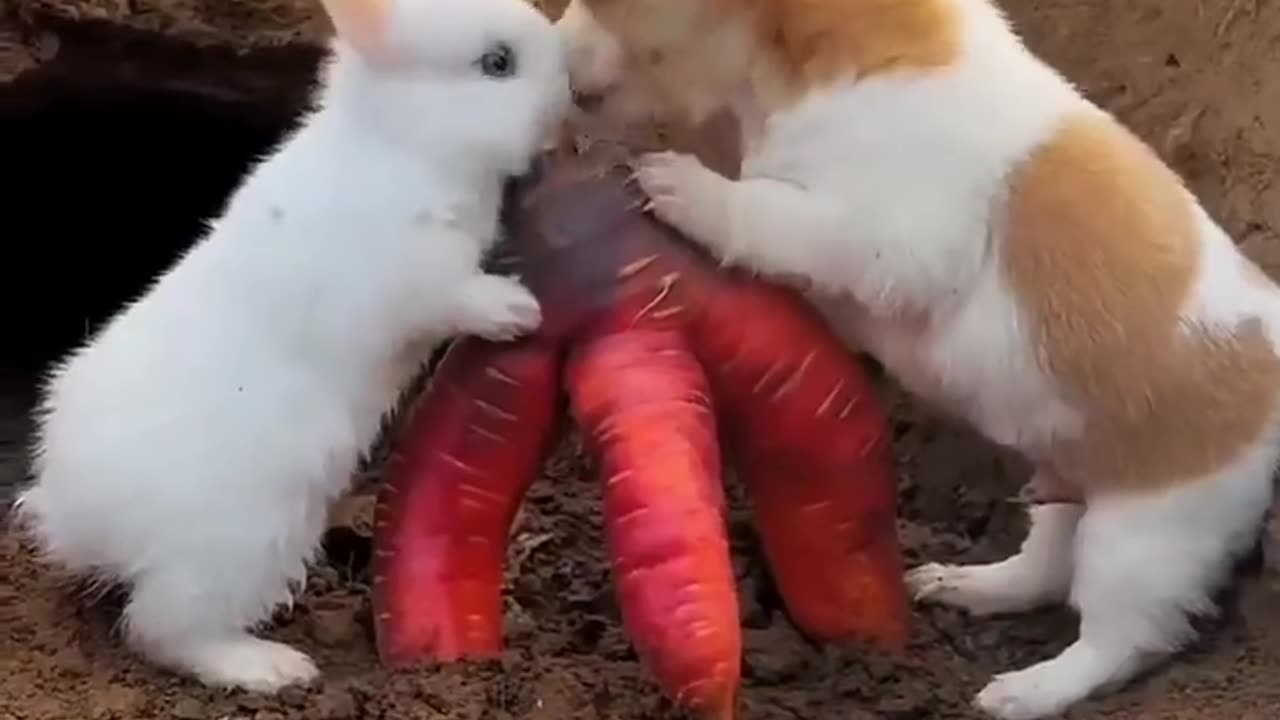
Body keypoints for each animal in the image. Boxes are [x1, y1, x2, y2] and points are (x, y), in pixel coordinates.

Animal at [13, 0, 570, 691]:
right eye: (497, 63)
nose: (568, 89)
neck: (403, 144)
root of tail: (73, 516)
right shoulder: (412, 276)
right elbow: (456, 297)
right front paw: (518, 311)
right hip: (240, 546)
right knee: (163, 631)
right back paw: (274, 668)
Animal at [563, 1, 1280, 717]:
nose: (550, 49)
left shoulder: (888, 240)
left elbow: (767, 214)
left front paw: (682, 186)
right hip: (1069, 491)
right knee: (1043, 571)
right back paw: (964, 586)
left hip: (1145, 537)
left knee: (1121, 640)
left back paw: (1024, 692)